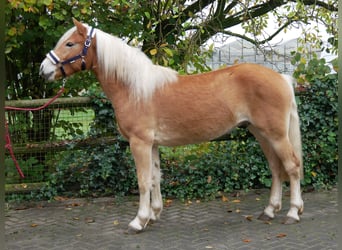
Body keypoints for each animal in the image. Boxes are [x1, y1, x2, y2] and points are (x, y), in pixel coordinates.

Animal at [38, 18, 304, 233]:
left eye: (70, 44)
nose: (44, 69)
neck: (134, 89)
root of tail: (282, 78)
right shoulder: (153, 144)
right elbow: (156, 177)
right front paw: (154, 214)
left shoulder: (140, 143)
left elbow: (143, 180)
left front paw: (139, 221)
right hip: (260, 133)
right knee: (276, 168)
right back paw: (269, 210)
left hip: (276, 135)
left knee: (291, 167)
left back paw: (292, 212)